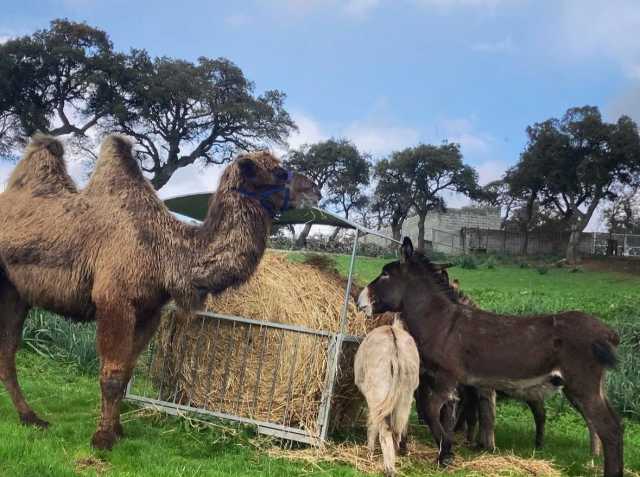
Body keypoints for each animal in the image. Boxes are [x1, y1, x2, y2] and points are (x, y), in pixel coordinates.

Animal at [0, 134, 320, 450]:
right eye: (279, 172)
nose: (315, 191)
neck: (165, 253)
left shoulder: (149, 311)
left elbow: (127, 372)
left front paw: (117, 430)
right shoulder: (114, 300)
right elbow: (112, 375)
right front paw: (102, 439)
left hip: (16, 295)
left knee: (8, 352)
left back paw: (31, 417)